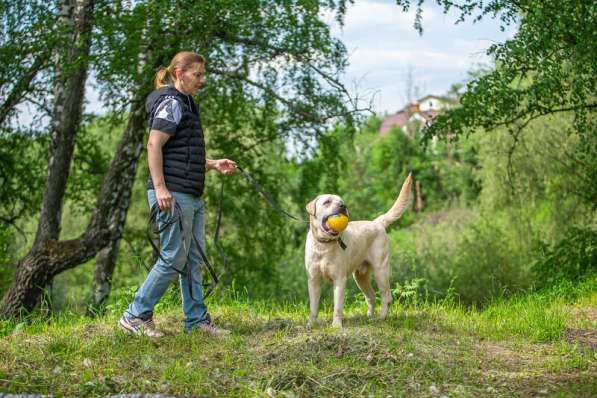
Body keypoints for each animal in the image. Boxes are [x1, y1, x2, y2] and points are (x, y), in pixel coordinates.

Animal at [304, 173, 412, 326]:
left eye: (341, 201)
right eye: (327, 202)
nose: (343, 206)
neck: (323, 245)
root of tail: (377, 222)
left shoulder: (340, 279)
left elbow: (338, 307)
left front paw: (336, 325)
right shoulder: (313, 280)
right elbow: (313, 307)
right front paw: (311, 324)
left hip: (381, 271)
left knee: (386, 296)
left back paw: (381, 317)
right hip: (360, 277)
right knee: (371, 296)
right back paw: (369, 317)